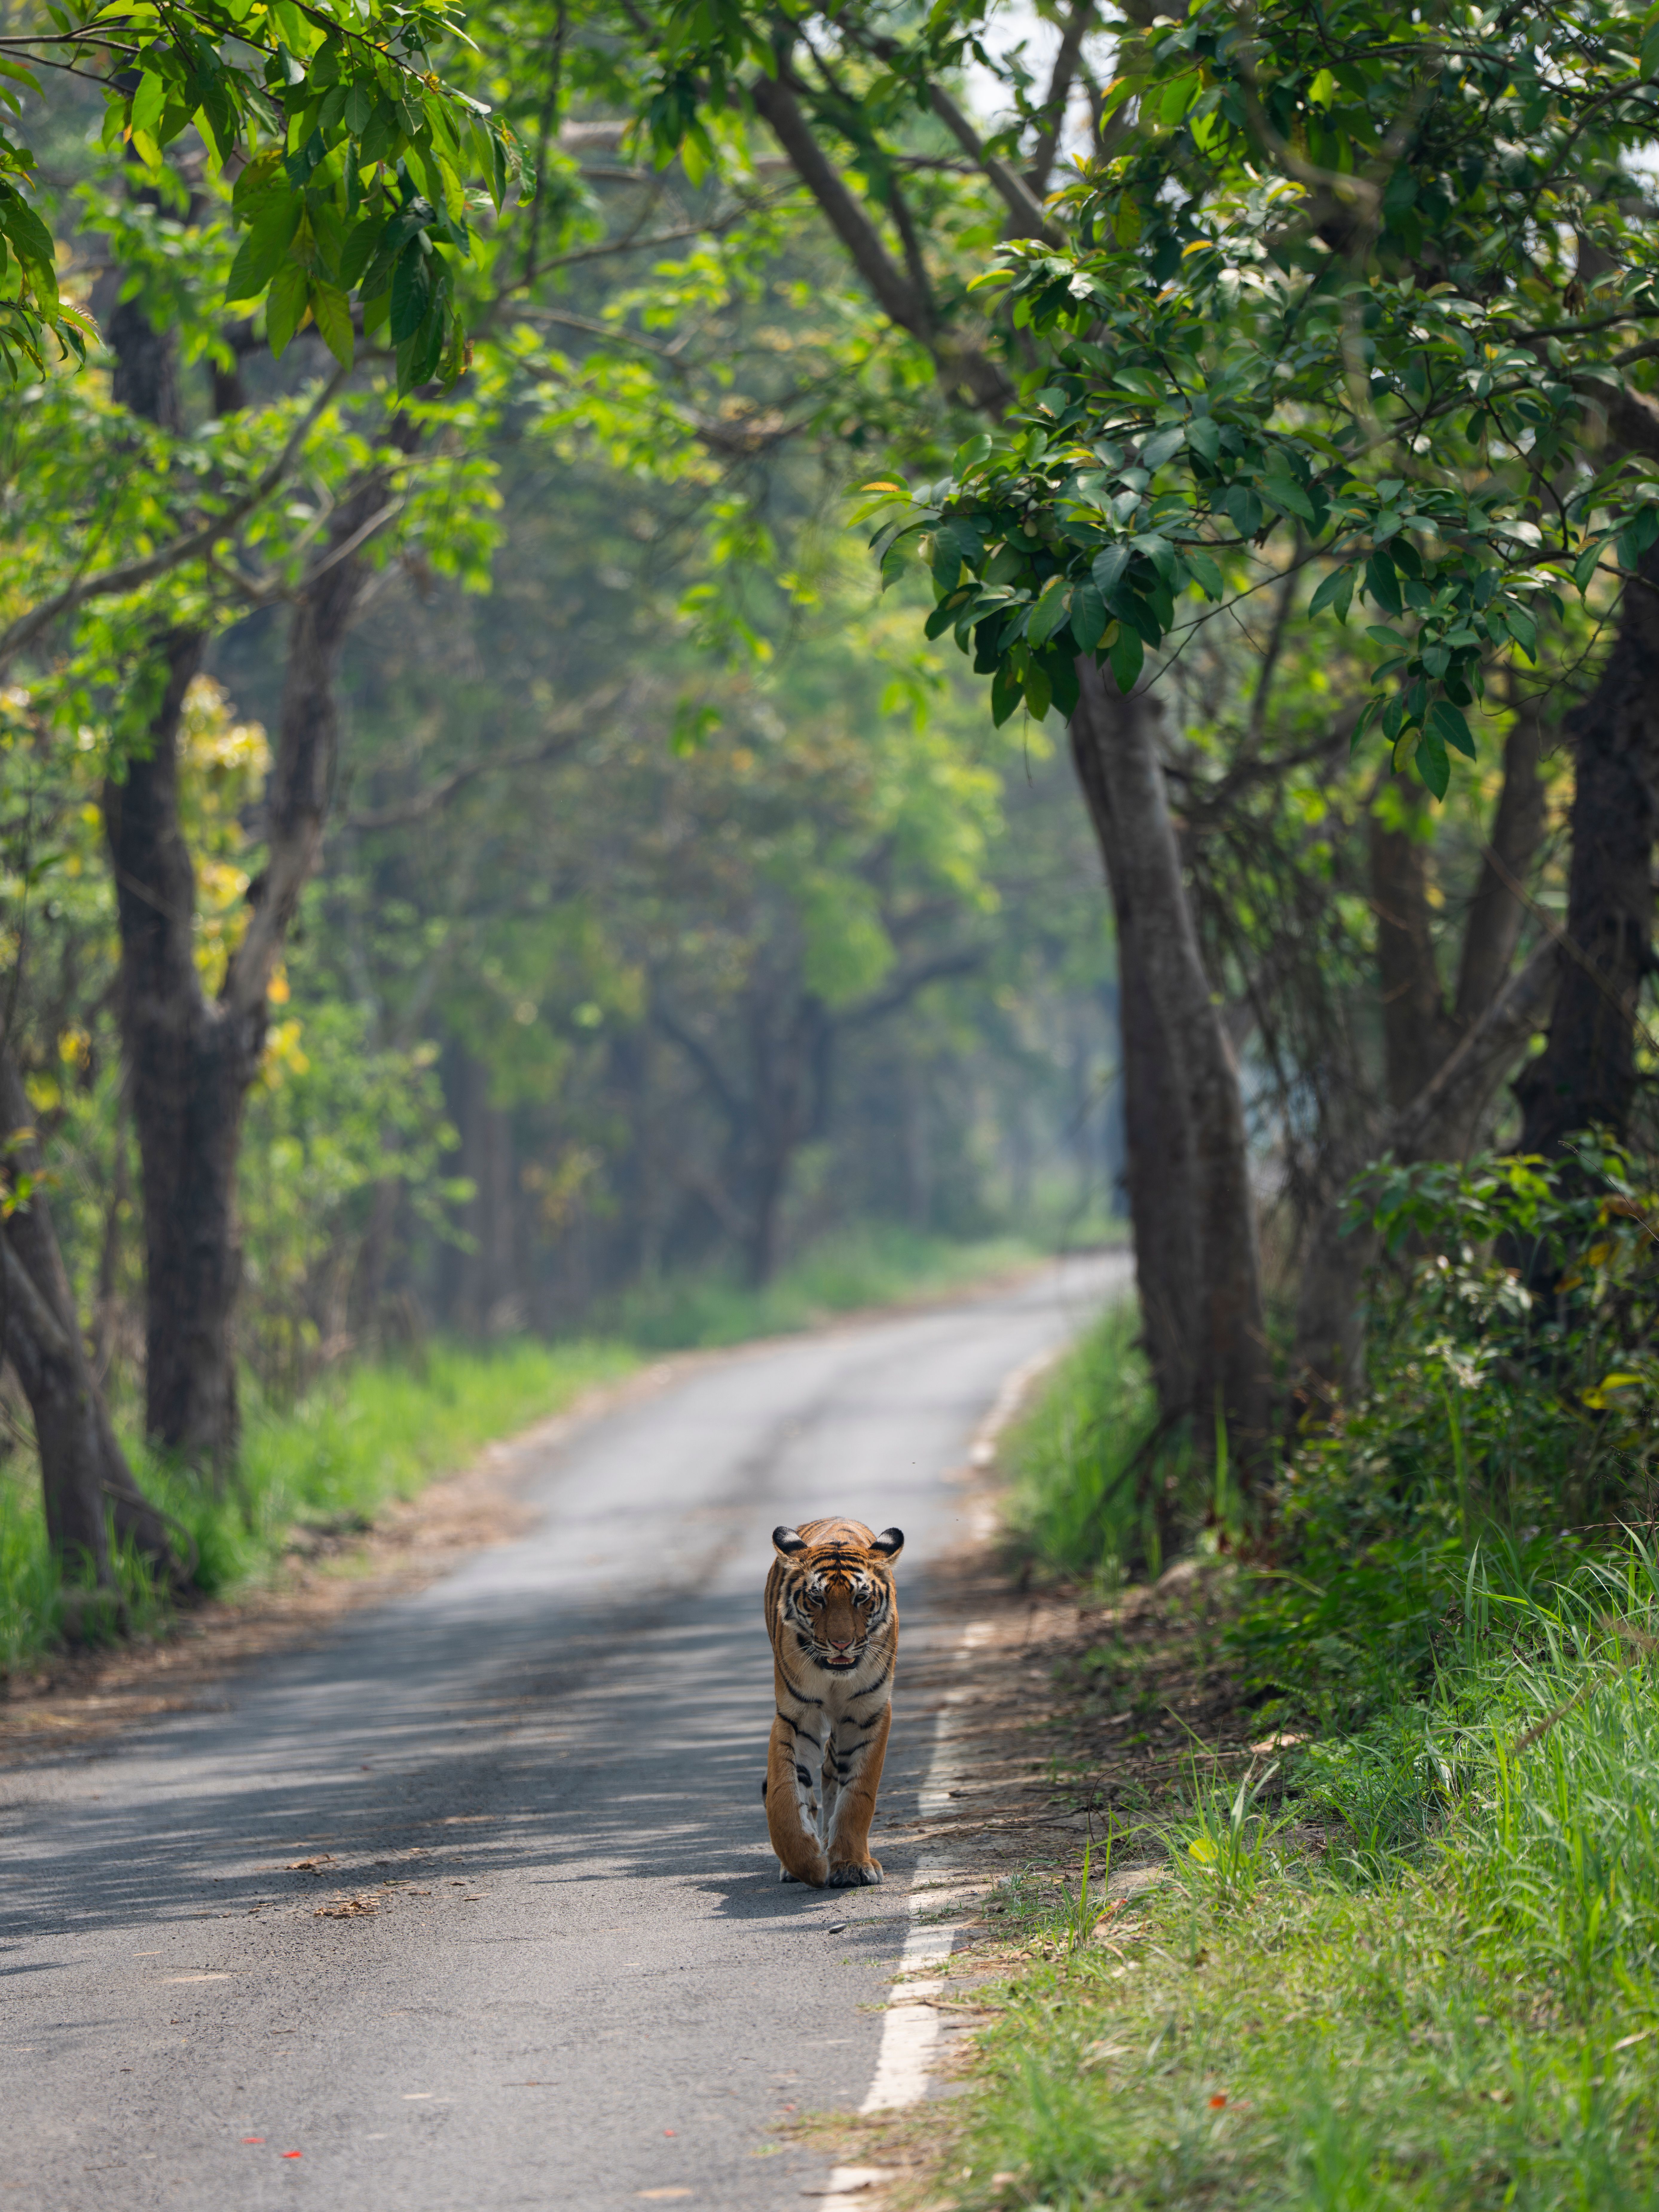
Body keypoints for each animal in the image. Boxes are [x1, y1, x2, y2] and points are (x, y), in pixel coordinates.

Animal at [761, 1517, 905, 1888]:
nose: (841, 1644)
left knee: (831, 1769)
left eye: (861, 1598)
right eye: (817, 1599)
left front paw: (852, 1865)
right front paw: (808, 1864)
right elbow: (784, 1794)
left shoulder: (867, 1714)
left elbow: (857, 1796)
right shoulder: (796, 1717)